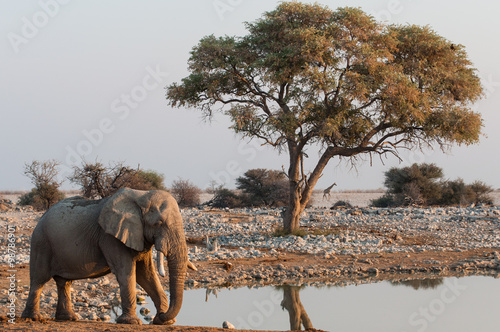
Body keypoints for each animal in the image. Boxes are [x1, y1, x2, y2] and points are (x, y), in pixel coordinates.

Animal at [20, 188, 191, 326]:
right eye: (159, 223)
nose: (161, 315)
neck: (141, 196)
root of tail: (41, 217)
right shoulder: (109, 237)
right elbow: (126, 272)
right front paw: (131, 322)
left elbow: (146, 274)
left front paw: (165, 321)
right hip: (41, 242)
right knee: (39, 280)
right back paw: (34, 319)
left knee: (64, 283)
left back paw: (68, 318)